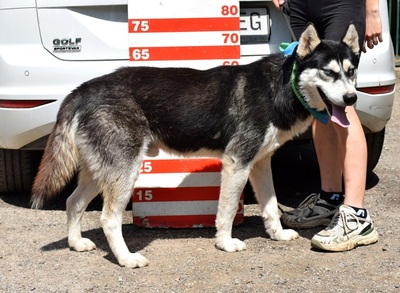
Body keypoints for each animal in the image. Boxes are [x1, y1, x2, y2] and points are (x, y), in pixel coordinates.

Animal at [31, 23, 360, 266]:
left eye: (351, 71)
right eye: (329, 72)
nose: (351, 98)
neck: (280, 86)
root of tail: (83, 89)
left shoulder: (259, 164)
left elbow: (270, 207)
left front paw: (277, 234)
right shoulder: (236, 163)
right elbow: (226, 211)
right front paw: (225, 243)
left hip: (99, 172)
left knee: (73, 202)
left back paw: (76, 243)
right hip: (124, 173)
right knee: (108, 219)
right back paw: (126, 259)